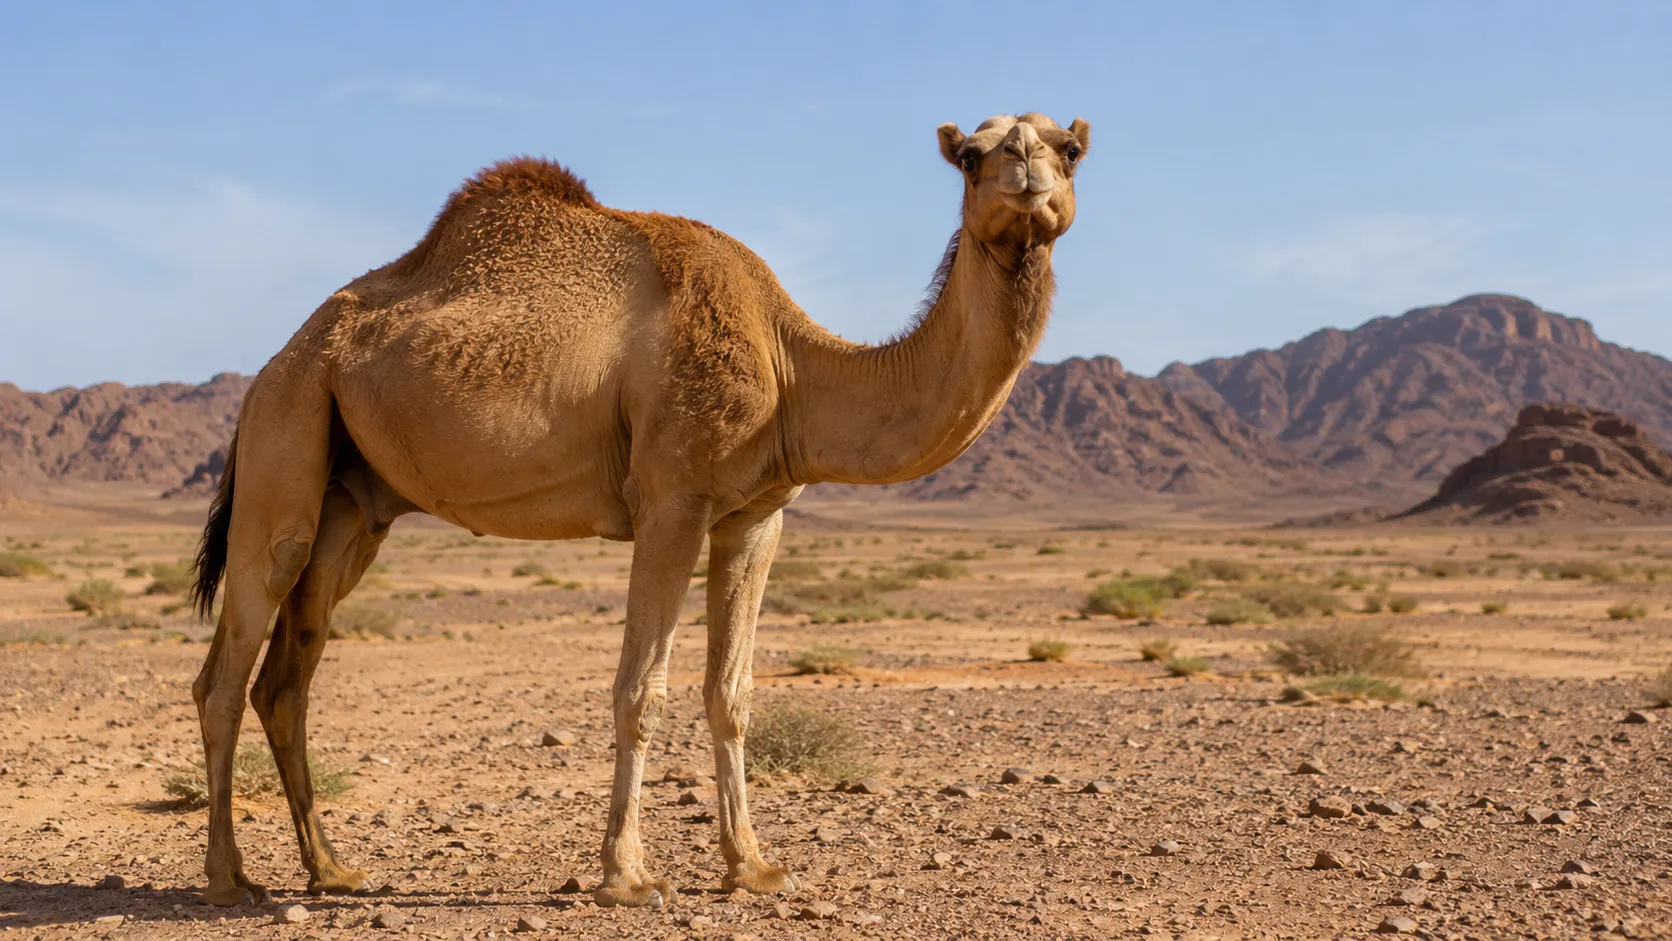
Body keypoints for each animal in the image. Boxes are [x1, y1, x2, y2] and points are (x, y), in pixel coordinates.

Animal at [186, 112, 1090, 908]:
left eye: (1070, 148)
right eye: (970, 156)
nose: (1028, 176)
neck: (792, 365)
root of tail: (274, 365)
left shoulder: (755, 515)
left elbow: (732, 690)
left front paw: (753, 867)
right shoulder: (672, 501)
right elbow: (639, 690)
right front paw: (627, 876)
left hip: (352, 502)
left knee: (286, 680)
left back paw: (332, 868)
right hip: (287, 431)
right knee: (227, 670)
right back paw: (230, 879)